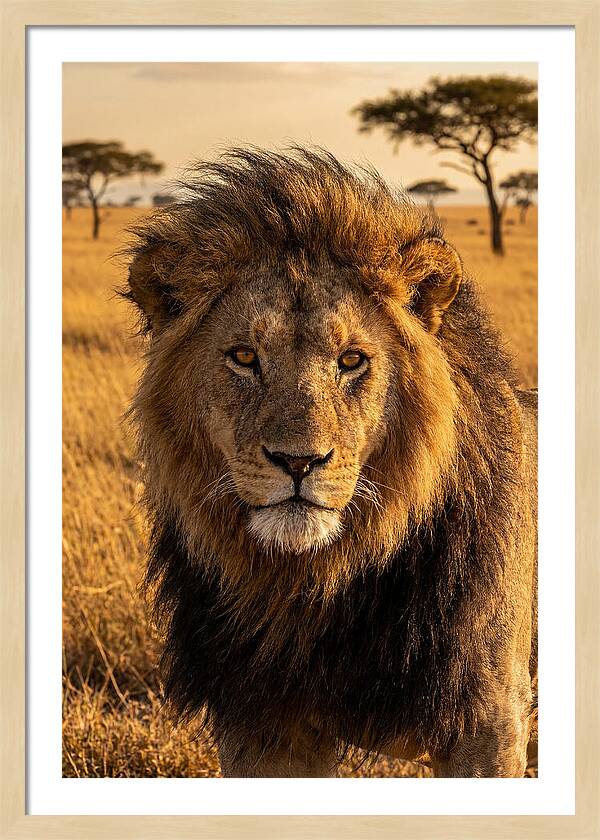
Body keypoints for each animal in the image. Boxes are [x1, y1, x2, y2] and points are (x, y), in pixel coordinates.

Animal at [124, 147, 537, 778]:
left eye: (352, 360)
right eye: (244, 356)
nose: (298, 462)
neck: (314, 586)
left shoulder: (488, 721)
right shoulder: (260, 725)